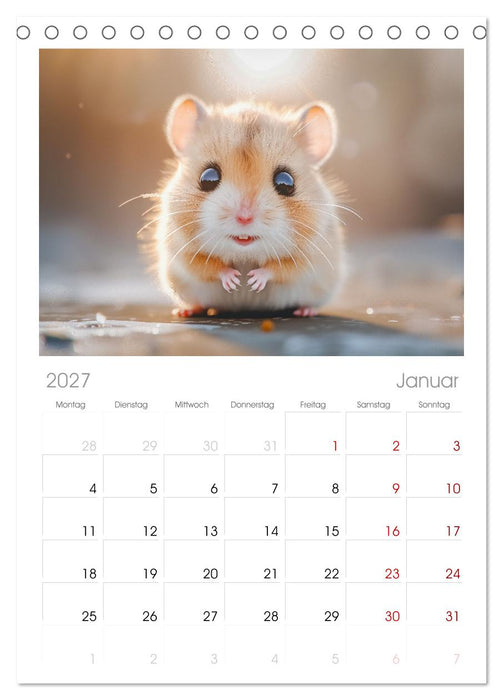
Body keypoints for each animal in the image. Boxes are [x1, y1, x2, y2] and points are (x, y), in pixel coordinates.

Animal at [154, 95, 347, 317]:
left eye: (286, 182)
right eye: (207, 177)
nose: (244, 218)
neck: (245, 256)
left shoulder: (309, 255)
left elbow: (282, 268)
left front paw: (253, 281)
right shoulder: (183, 250)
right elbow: (207, 266)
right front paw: (235, 280)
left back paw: (305, 311)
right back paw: (185, 311)